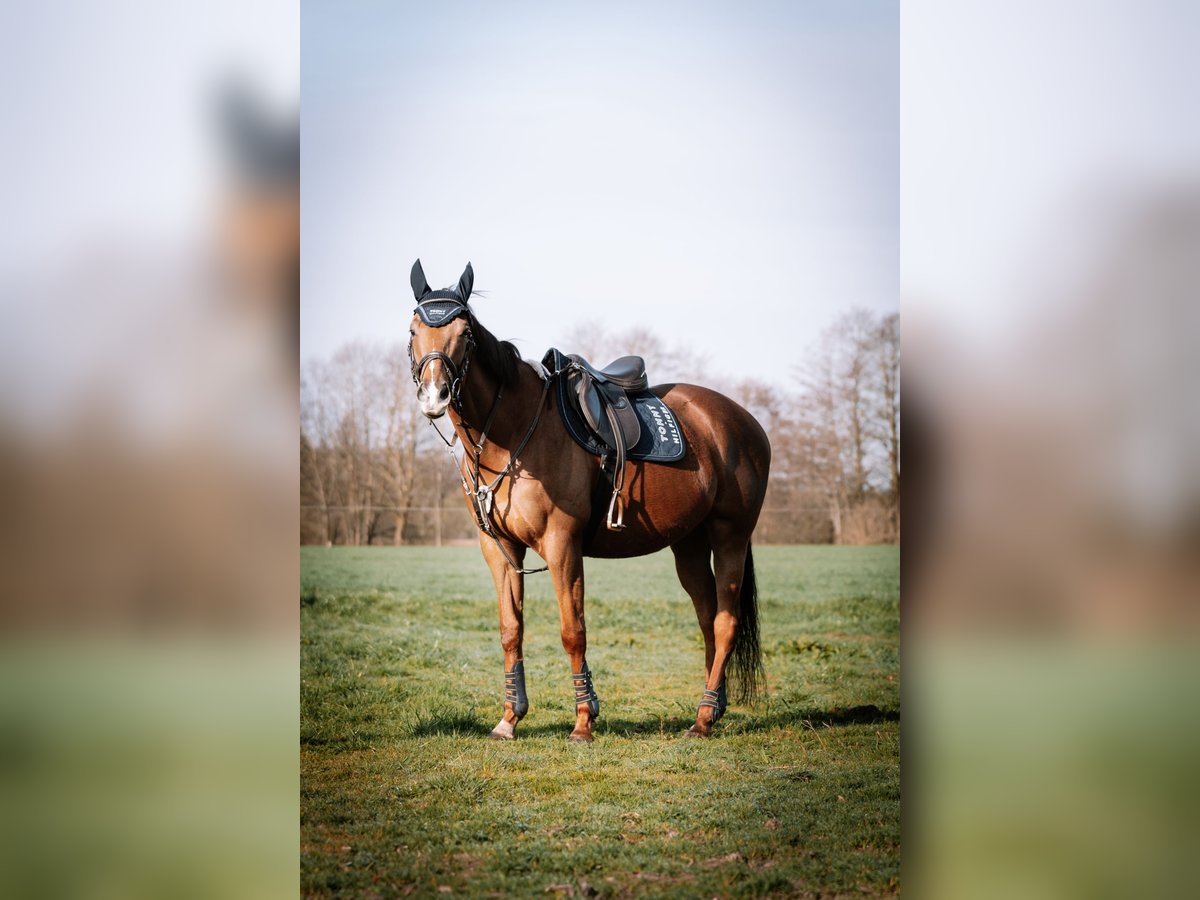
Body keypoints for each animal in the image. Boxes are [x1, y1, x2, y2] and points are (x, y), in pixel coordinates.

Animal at [408, 259, 772, 739]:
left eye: (465, 332)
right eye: (413, 329)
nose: (434, 394)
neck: (513, 431)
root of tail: (743, 421)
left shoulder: (562, 544)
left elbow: (572, 630)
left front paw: (584, 719)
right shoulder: (500, 549)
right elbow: (511, 629)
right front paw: (510, 717)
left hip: (731, 536)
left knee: (726, 623)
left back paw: (702, 719)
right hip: (689, 544)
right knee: (708, 618)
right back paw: (712, 708)